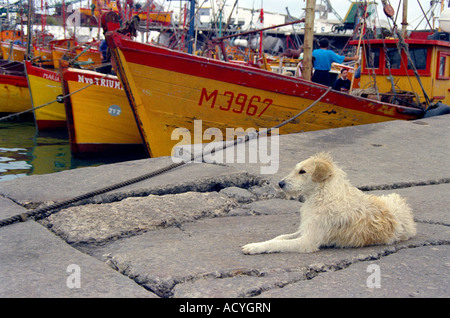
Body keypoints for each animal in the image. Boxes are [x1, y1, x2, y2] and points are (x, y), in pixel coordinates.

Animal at [243, 153, 418, 255]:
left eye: (302, 172)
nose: (280, 184)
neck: (322, 194)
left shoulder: (307, 241)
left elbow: (278, 244)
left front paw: (255, 247)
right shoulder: (306, 229)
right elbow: (279, 238)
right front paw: (258, 243)